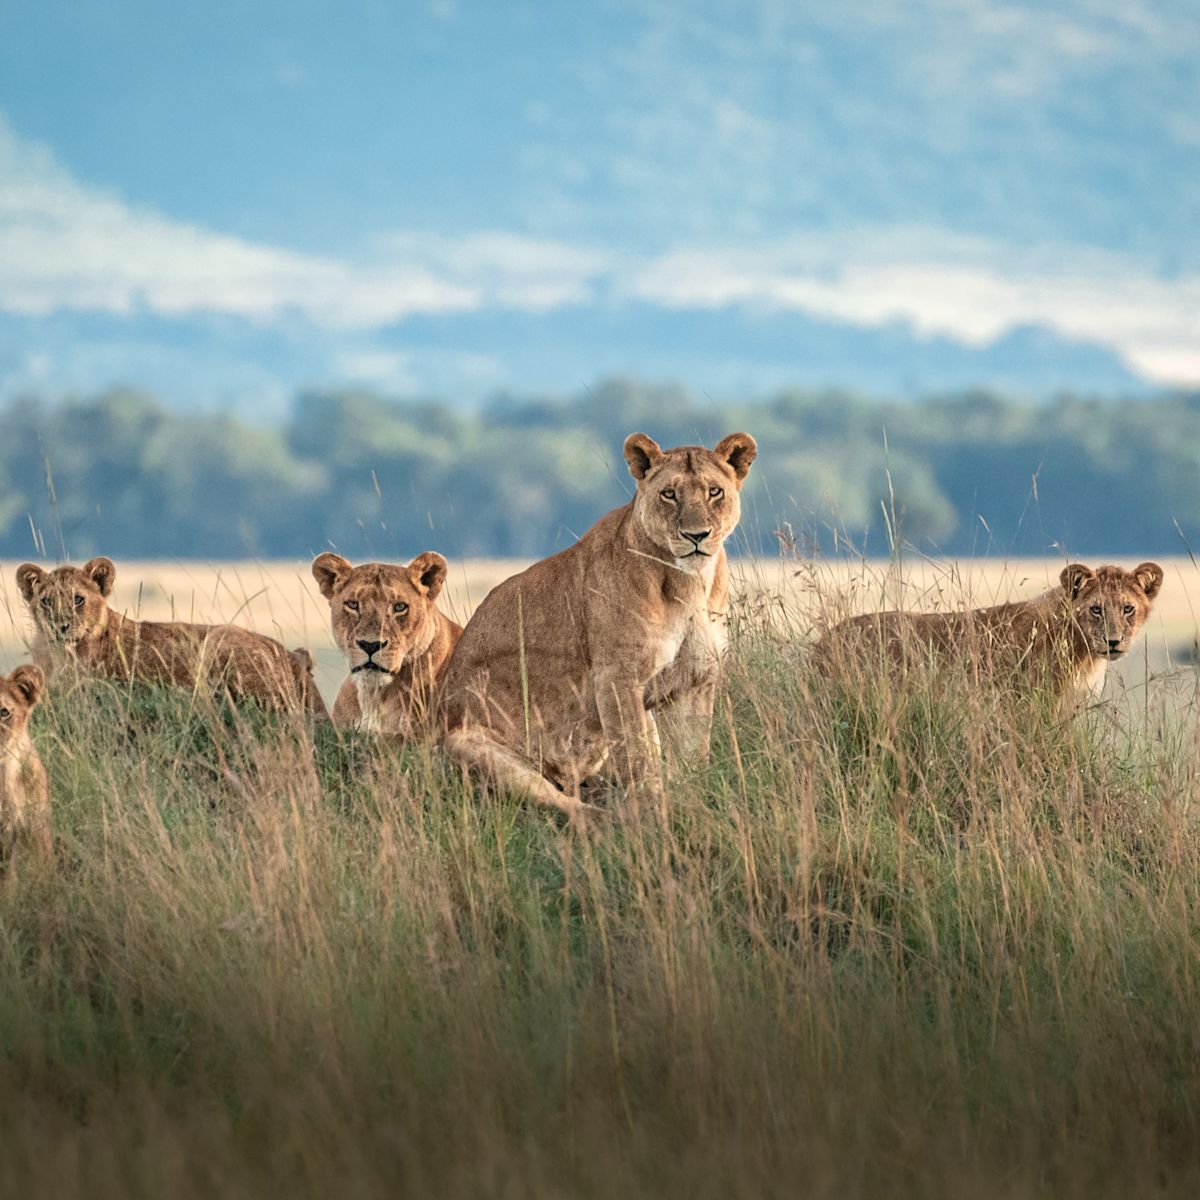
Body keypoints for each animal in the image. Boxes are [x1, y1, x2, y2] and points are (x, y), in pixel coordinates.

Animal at [18, 556, 328, 715]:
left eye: (78, 599)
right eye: (46, 601)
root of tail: (297, 659)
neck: (57, 654)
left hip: (219, 638)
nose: (59, 626)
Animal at [441, 434, 753, 825]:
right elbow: (637, 759)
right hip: (467, 745)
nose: (696, 535)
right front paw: (655, 813)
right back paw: (616, 819)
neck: (689, 582)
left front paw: (695, 803)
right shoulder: (617, 678)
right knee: (568, 808)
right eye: (669, 494)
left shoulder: (695, 678)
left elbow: (694, 755)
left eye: (714, 492)